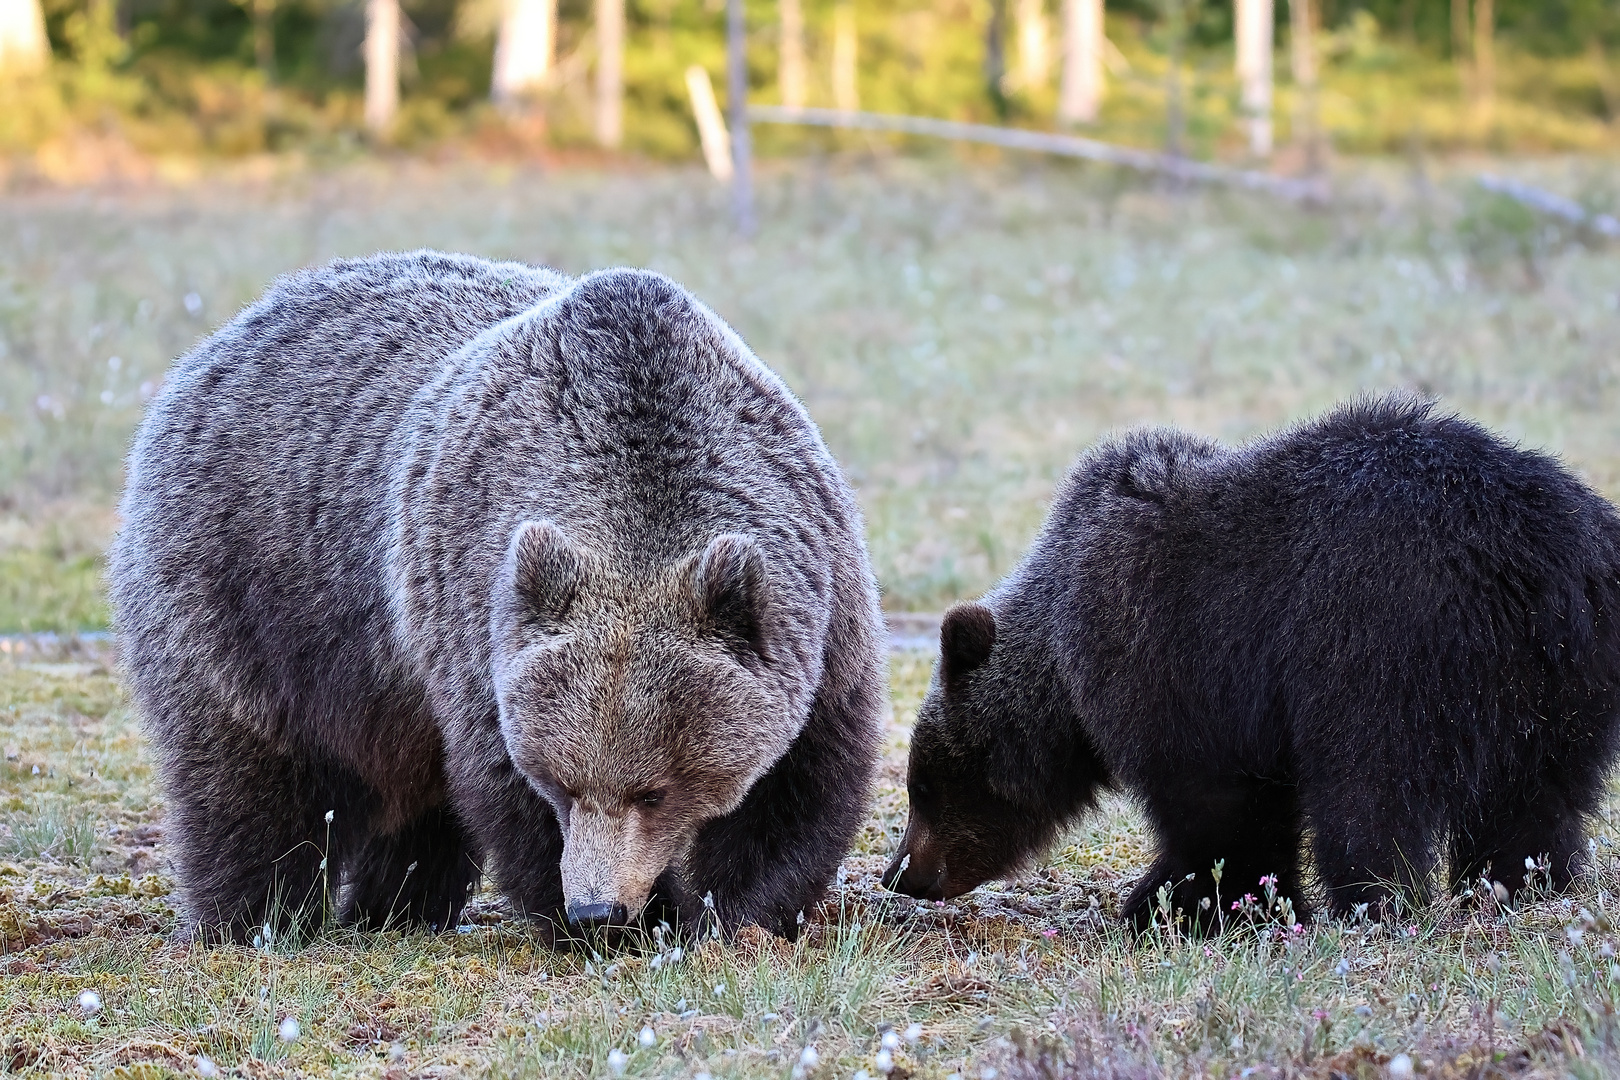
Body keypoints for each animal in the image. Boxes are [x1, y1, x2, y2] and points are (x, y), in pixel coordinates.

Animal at [110, 254, 887, 945]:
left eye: (655, 789)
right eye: (564, 784)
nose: (596, 908)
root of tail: (219, 341)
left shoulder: (821, 611)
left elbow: (800, 786)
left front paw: (738, 911)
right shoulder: (474, 613)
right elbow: (504, 786)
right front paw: (645, 919)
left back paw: (395, 906)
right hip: (253, 593)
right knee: (250, 772)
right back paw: (255, 918)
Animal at [887, 395, 1620, 932]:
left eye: (923, 784)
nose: (902, 873)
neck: (1066, 670)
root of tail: (1541, 552)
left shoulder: (1173, 653)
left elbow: (1218, 803)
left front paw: (1176, 901)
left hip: (1383, 641)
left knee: (1367, 794)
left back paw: (1371, 902)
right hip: (1558, 678)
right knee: (1537, 801)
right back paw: (1517, 887)